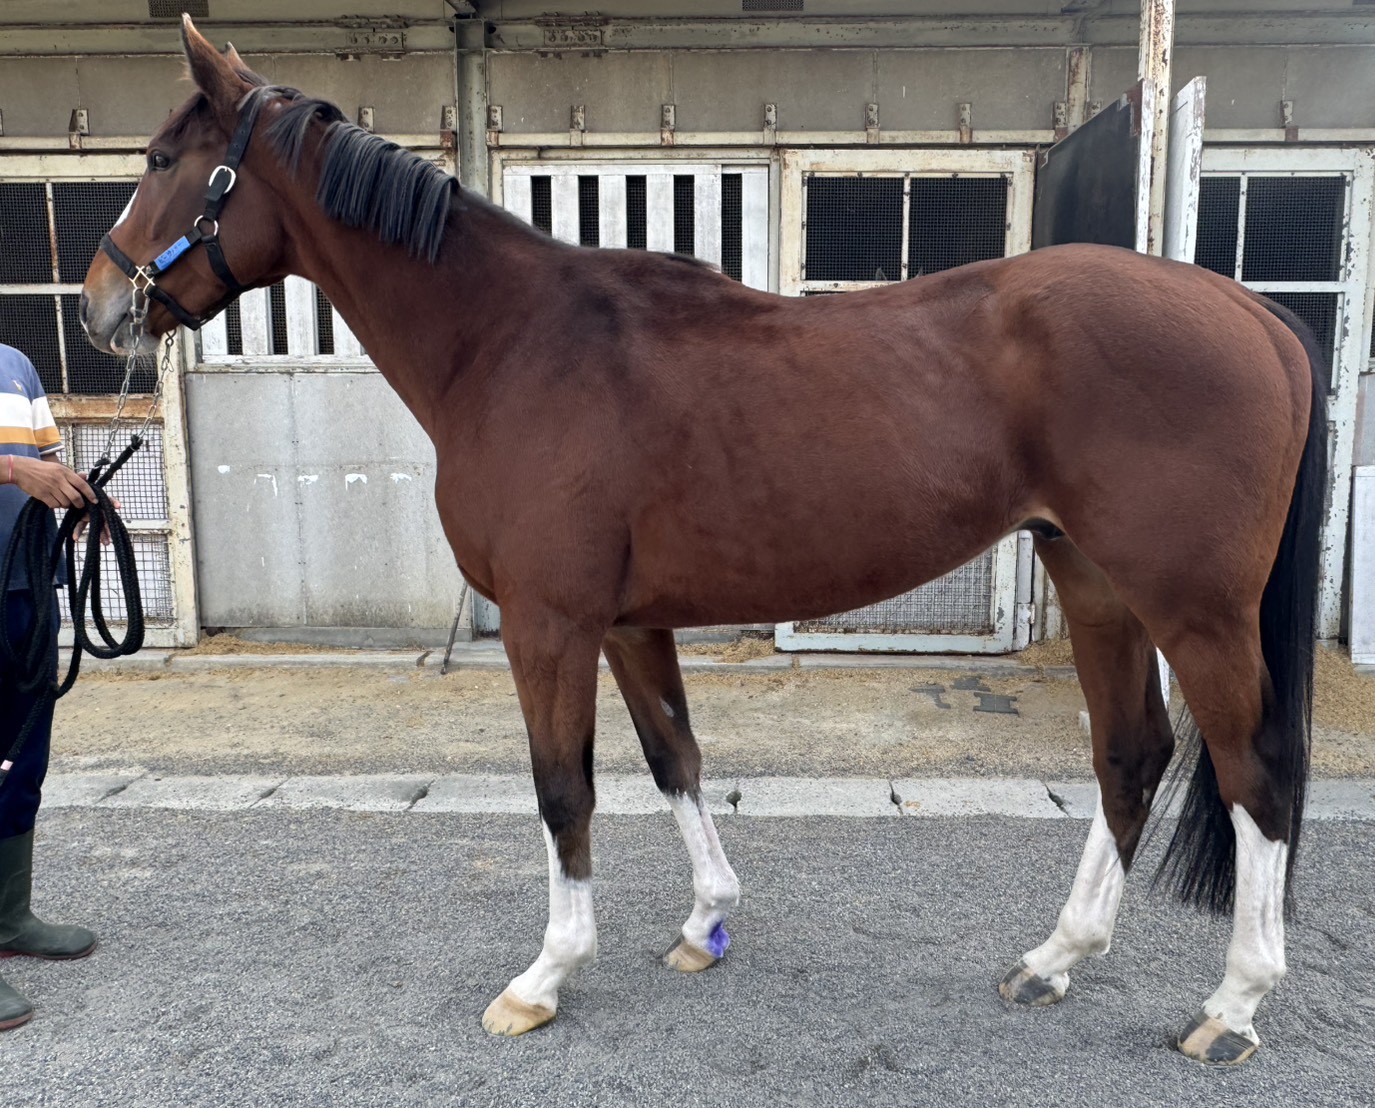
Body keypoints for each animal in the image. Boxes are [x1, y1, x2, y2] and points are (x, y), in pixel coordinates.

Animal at [80, 17, 1326, 1066]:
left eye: (160, 159)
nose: (97, 305)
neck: (515, 344)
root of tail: (1254, 314)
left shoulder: (549, 622)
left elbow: (563, 790)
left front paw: (544, 976)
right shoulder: (630, 622)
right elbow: (673, 756)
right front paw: (705, 922)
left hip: (1193, 607)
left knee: (1252, 769)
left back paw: (1230, 1006)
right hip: (1096, 579)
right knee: (1130, 756)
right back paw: (1054, 959)